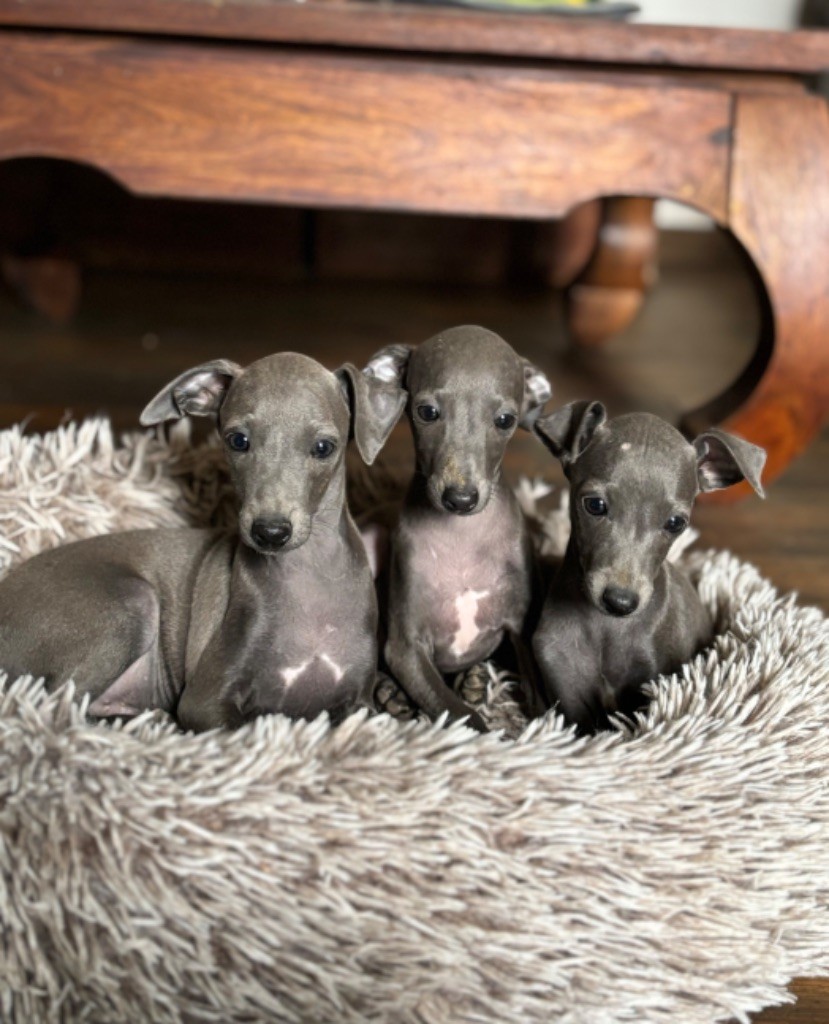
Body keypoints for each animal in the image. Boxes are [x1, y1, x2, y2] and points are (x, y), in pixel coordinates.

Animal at [0, 352, 403, 729]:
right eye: (238, 440)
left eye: (323, 447)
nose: (270, 532)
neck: (307, 576)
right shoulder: (205, 700)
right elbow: (254, 722)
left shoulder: (358, 701)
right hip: (127, 604)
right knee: (58, 704)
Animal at [364, 323, 552, 733]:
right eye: (427, 412)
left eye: (505, 420)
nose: (460, 499)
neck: (462, 536)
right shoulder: (405, 649)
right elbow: (459, 714)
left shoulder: (522, 628)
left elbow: (543, 699)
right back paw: (390, 693)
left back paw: (474, 680)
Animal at [528, 401, 761, 737]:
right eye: (595, 505)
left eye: (676, 523)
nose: (620, 601)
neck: (608, 629)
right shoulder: (569, 692)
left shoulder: (651, 684)